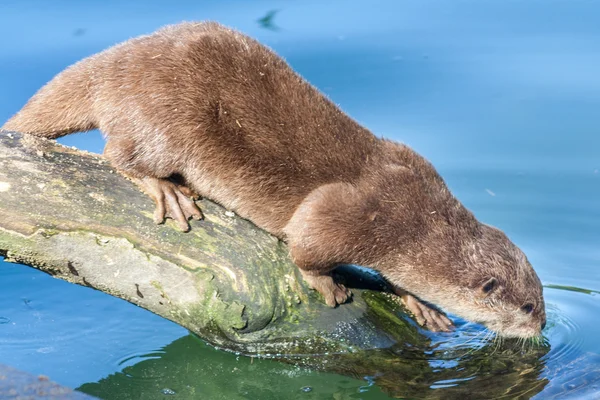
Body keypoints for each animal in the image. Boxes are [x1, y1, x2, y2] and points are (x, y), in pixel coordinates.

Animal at [1, 21, 544, 338]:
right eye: (528, 306)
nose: (542, 330)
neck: (421, 224)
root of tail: (115, 64)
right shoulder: (356, 214)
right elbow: (306, 242)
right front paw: (327, 284)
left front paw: (419, 303)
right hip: (161, 117)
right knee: (120, 154)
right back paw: (168, 190)